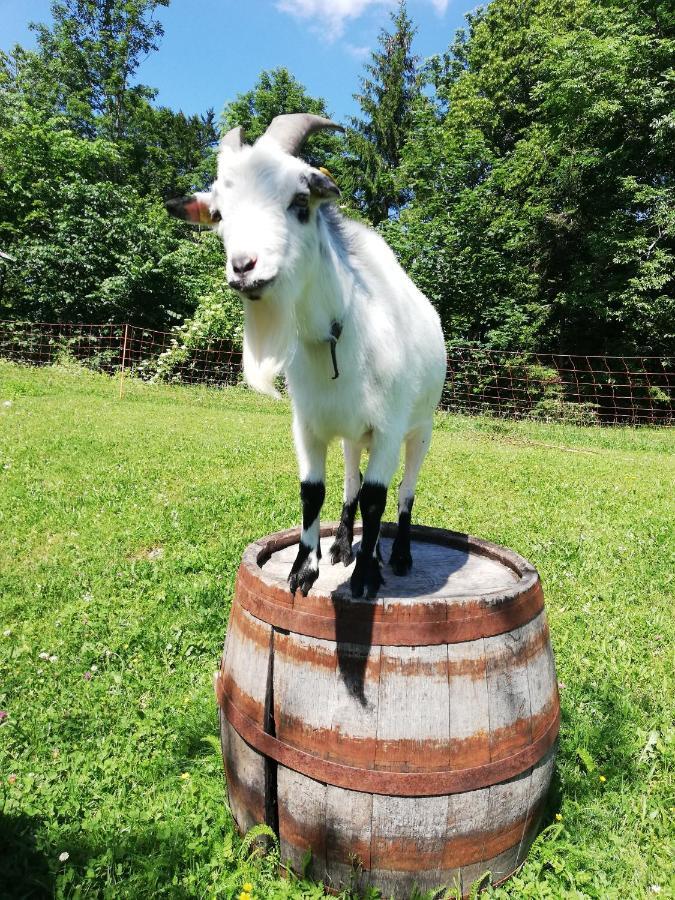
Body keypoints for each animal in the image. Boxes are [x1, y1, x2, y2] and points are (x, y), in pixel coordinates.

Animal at [166, 114, 446, 596]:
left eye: (300, 200)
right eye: (219, 215)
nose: (244, 268)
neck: (337, 334)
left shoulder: (388, 428)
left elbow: (378, 498)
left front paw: (366, 578)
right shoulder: (309, 425)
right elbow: (314, 490)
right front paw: (304, 568)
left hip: (419, 429)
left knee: (403, 490)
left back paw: (397, 555)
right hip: (354, 436)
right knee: (352, 482)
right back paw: (346, 547)